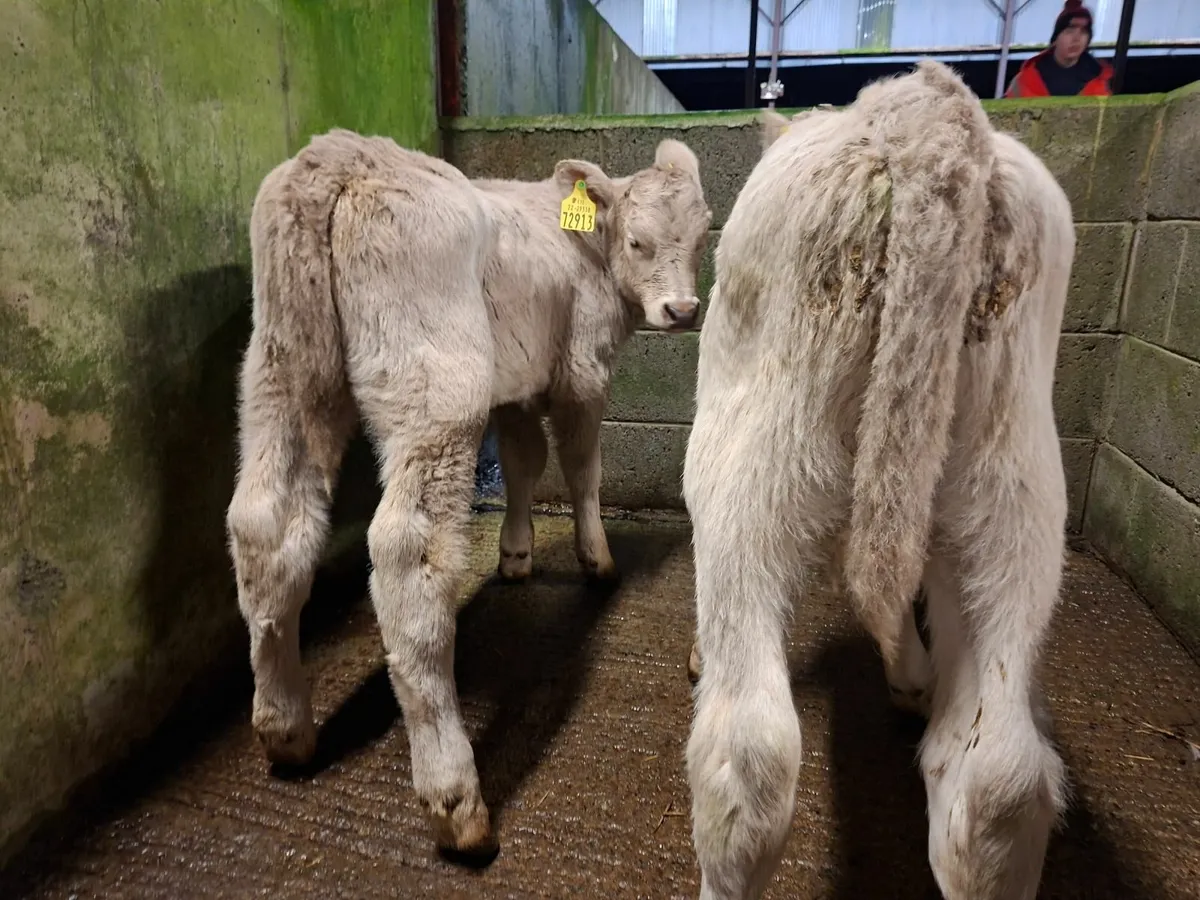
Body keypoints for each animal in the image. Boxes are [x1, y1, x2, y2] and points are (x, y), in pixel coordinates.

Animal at [225, 128, 712, 857]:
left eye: (705, 234)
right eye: (638, 241)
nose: (682, 311)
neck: (584, 245)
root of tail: (340, 157)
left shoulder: (516, 382)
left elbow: (522, 461)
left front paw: (515, 556)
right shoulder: (581, 369)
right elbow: (580, 464)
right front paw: (596, 560)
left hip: (280, 371)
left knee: (264, 526)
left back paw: (285, 729)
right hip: (437, 389)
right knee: (408, 555)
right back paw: (454, 798)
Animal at [682, 60, 1073, 900]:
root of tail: (925, 117)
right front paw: (912, 679)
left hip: (748, 471)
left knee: (751, 754)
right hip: (1013, 491)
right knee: (999, 777)